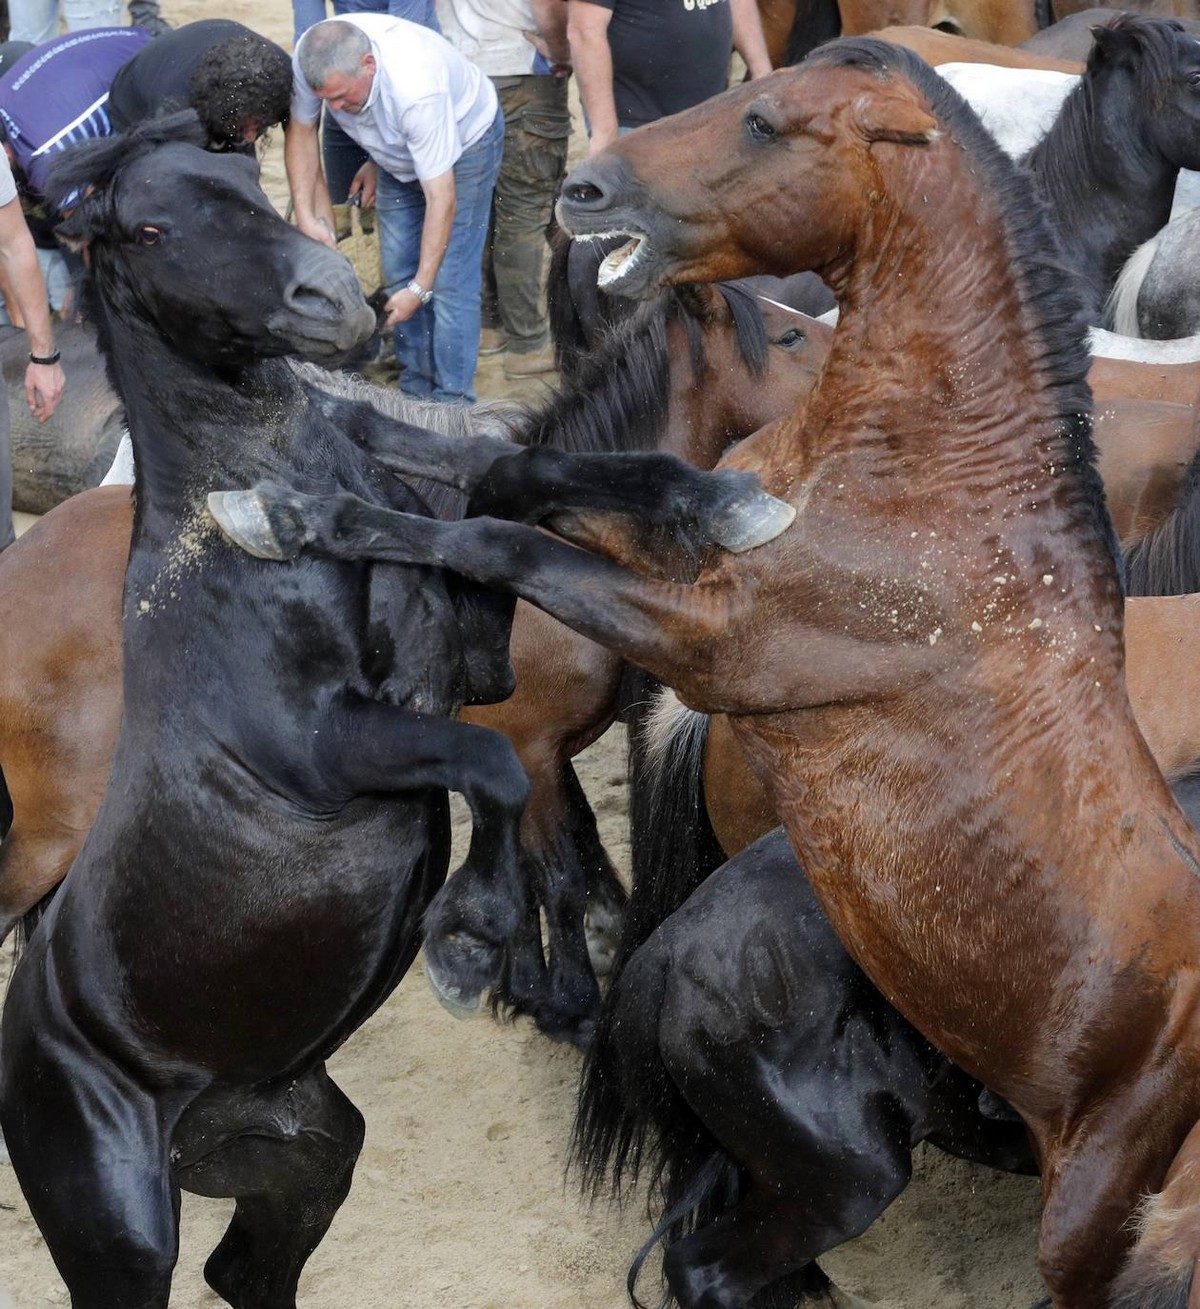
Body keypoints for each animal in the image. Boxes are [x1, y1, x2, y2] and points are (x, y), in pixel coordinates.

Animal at [215, 43, 1200, 1309]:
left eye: (765, 121)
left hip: (1065, 1208)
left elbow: (503, 537)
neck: (944, 490)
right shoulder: (677, 568)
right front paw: (315, 496)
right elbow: (531, 478)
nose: (585, 191)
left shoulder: (714, 640)